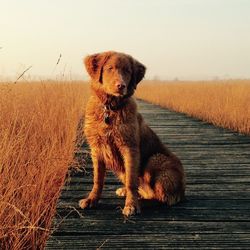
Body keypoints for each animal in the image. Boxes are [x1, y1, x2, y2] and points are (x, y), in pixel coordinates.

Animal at [79, 51, 185, 217]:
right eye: (109, 68)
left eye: (128, 71)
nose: (121, 86)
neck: (110, 108)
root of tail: (183, 190)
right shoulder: (96, 149)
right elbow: (98, 179)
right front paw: (91, 199)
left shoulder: (129, 148)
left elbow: (131, 181)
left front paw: (131, 205)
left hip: (155, 159)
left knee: (163, 197)